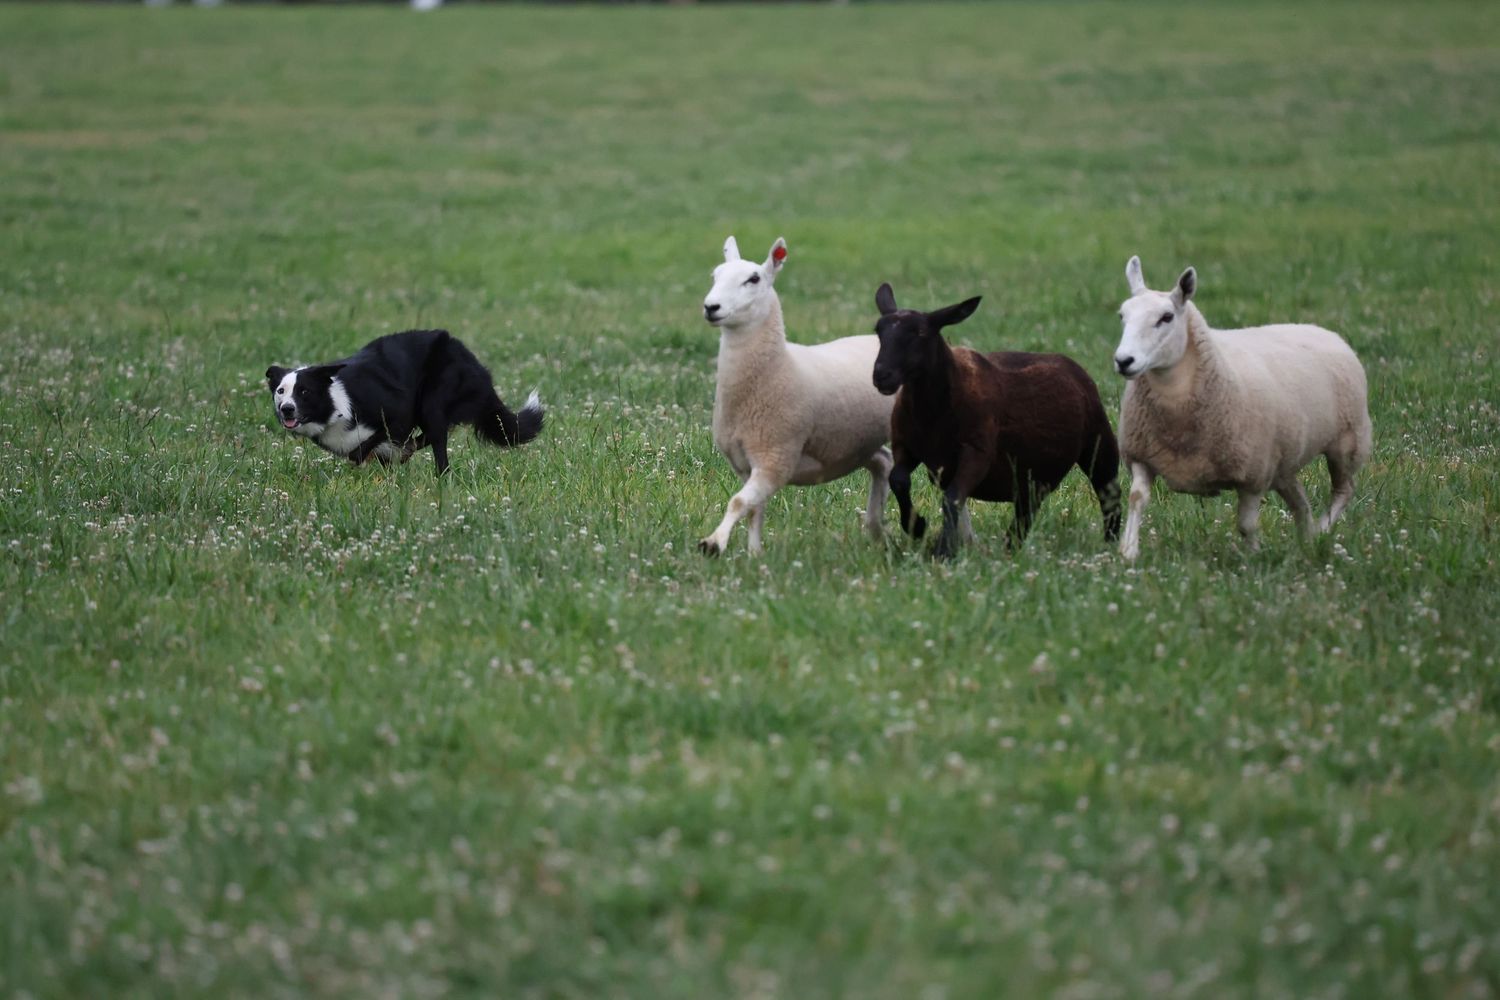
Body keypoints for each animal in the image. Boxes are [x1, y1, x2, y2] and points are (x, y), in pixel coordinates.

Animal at [697, 235, 895, 556]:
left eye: (753, 279)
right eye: (715, 276)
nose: (711, 307)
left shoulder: (776, 456)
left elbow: (738, 502)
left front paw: (714, 542)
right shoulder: (746, 464)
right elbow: (754, 509)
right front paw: (755, 555)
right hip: (855, 442)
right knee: (883, 462)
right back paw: (877, 529)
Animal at [872, 283, 1123, 558]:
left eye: (919, 333)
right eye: (879, 331)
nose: (881, 375)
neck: (932, 412)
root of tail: (1072, 366)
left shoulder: (977, 452)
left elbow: (952, 498)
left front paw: (943, 550)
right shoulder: (905, 445)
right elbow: (898, 480)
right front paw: (917, 527)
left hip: (1099, 443)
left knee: (1109, 493)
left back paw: (1110, 544)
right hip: (1032, 472)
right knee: (1028, 508)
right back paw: (1010, 547)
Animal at [1112, 255, 1373, 559]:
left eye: (1166, 317)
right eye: (1122, 316)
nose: (1124, 361)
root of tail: (1322, 330)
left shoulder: (1253, 475)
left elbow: (1246, 524)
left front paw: (1254, 559)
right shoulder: (1141, 456)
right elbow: (1136, 499)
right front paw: (1128, 552)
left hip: (1347, 443)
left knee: (1344, 491)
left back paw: (1320, 532)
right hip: (1282, 464)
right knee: (1300, 502)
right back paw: (1307, 541)